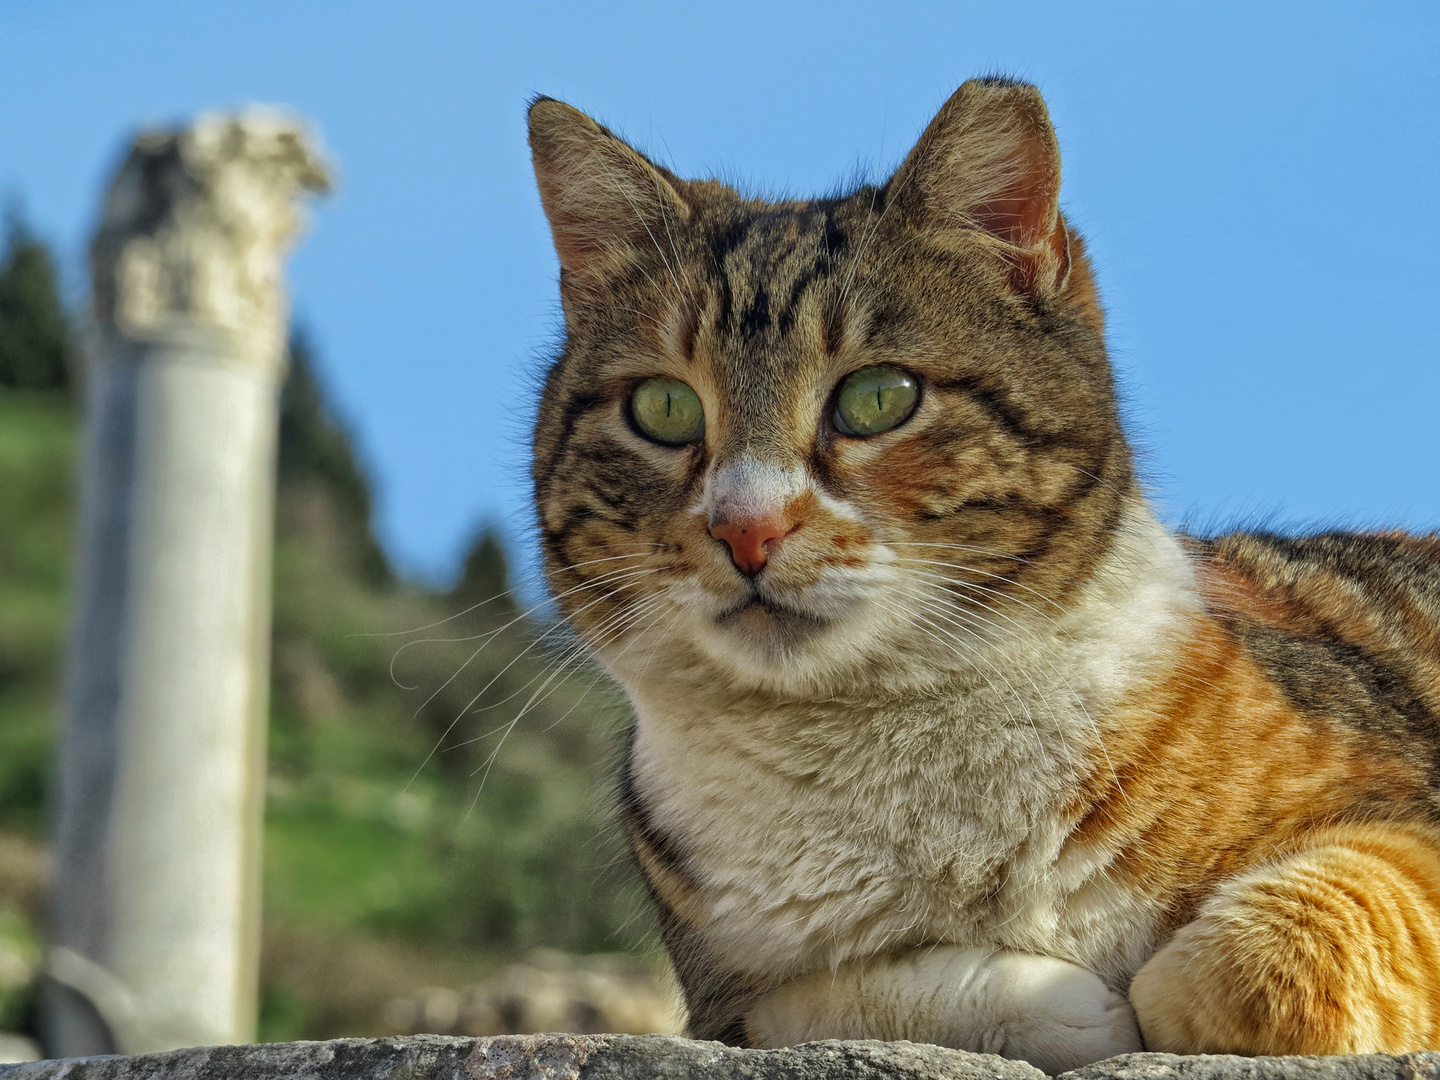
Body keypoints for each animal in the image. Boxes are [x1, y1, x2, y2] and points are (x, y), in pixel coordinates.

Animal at [524, 78, 1440, 1077]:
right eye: (663, 408)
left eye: (877, 397)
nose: (747, 528)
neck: (886, 739)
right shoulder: (725, 996)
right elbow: (835, 997)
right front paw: (1073, 1006)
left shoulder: (1403, 811)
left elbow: (1276, 944)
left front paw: (1160, 985)